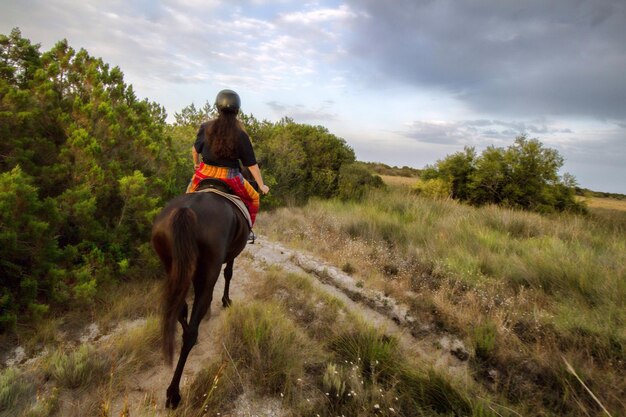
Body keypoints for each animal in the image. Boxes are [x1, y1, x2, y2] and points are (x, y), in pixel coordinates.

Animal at [151, 182, 249, 406]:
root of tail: (186, 210)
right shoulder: (230, 255)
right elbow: (229, 273)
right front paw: (226, 301)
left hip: (174, 266)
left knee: (180, 308)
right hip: (208, 265)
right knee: (191, 328)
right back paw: (173, 393)